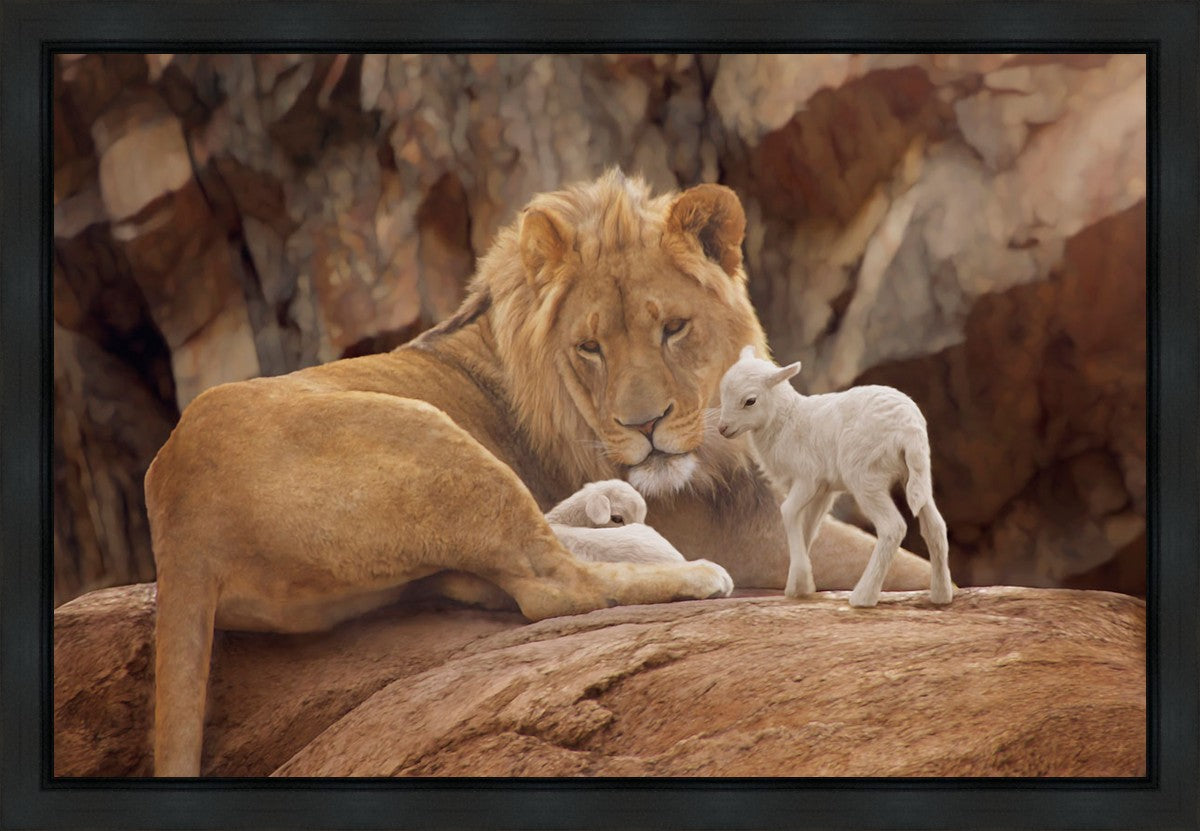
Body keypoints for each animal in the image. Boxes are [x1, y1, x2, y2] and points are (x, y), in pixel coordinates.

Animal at [717, 346, 953, 608]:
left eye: (750, 400)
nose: (722, 428)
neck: (787, 420)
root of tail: (909, 429)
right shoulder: (824, 490)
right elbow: (808, 527)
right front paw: (799, 584)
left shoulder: (807, 478)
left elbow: (788, 512)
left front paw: (800, 581)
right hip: (917, 473)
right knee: (935, 526)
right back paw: (941, 594)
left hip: (865, 476)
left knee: (893, 527)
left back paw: (863, 596)